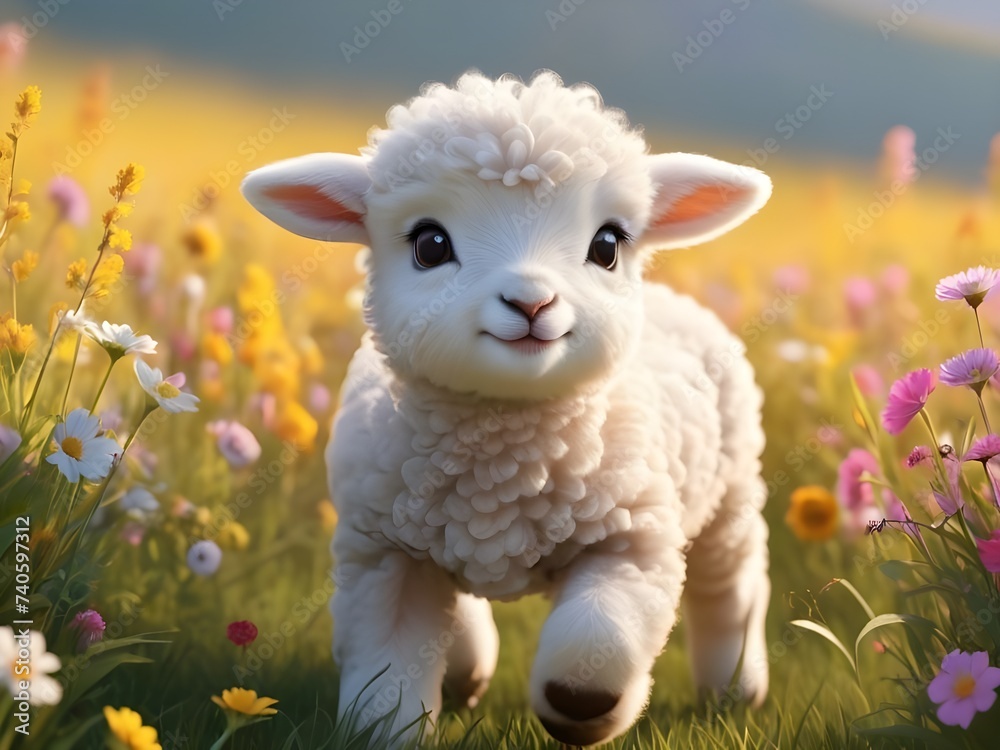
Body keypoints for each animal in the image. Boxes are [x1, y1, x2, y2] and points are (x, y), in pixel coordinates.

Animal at [241, 70, 772, 747]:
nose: (531, 302)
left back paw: (736, 686)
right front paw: (395, 722)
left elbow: (596, 642)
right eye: (430, 244)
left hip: (730, 489)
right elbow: (388, 673)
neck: (503, 462)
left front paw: (578, 705)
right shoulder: (387, 557)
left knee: (729, 584)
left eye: (607, 245)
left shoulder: (632, 539)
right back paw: (467, 669)